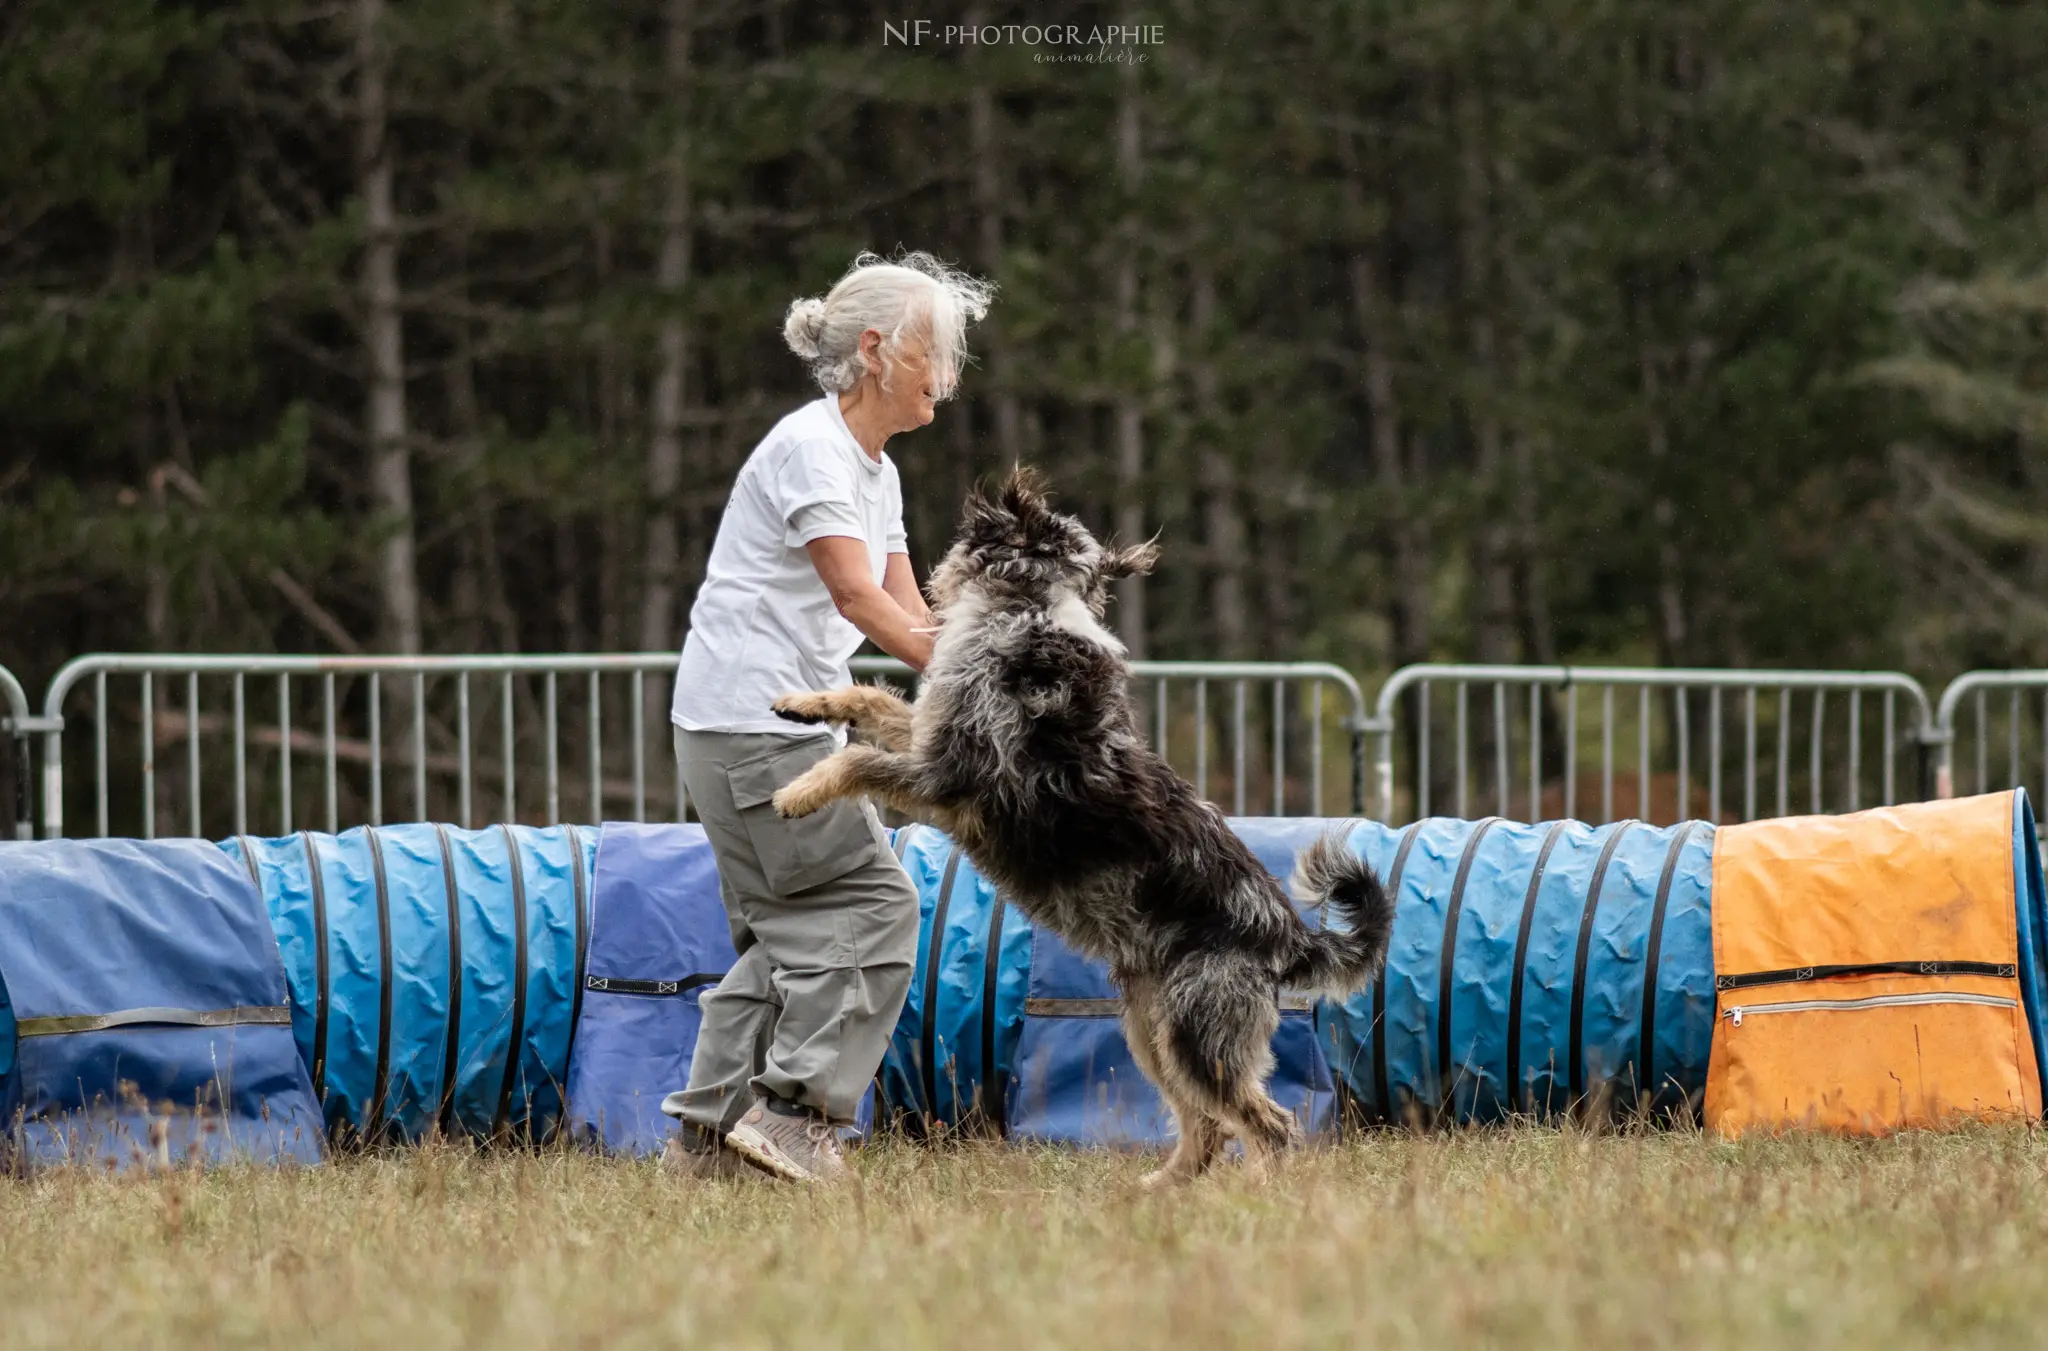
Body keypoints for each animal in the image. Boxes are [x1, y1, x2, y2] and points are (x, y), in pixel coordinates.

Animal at [770, 472, 1392, 1179]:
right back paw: (1160, 1187)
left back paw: (1256, 1189)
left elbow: (857, 759)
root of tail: (1289, 937)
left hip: (1195, 1034)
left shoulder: (947, 781)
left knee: (1271, 1125)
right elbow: (870, 699)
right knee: (1207, 1130)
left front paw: (797, 792)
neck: (1026, 609)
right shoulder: (929, 741)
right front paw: (802, 703)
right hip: (1150, 1027)